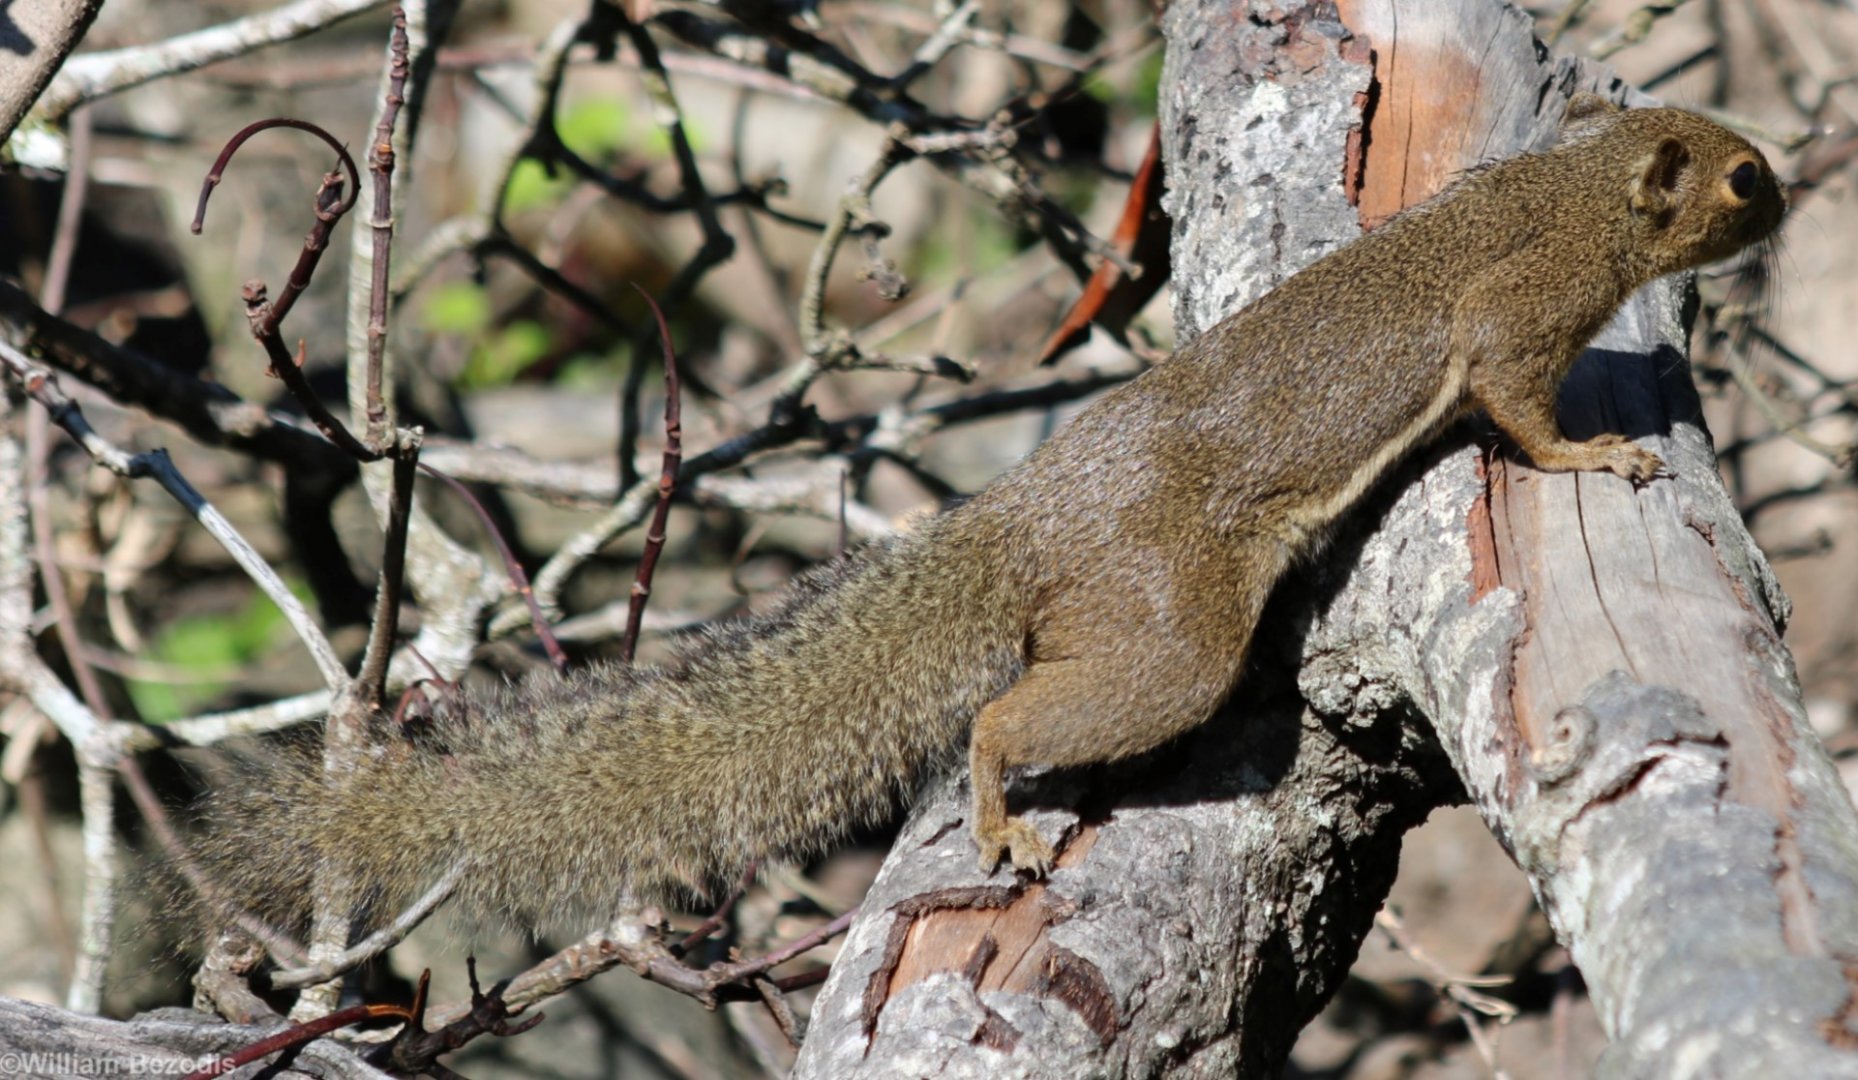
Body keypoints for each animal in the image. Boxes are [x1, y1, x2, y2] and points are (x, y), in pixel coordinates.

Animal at [208, 95, 1784, 928]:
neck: (1572, 196)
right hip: (1168, 629)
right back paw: (999, 819)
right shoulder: (1514, 322)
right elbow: (1524, 414)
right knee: (1009, 715)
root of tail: (1023, 524)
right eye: (1742, 176)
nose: (1788, 191)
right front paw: (1605, 458)